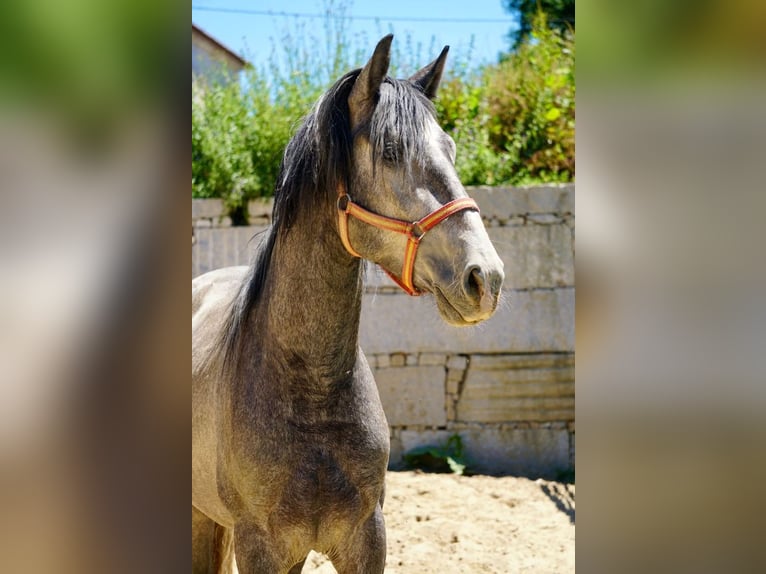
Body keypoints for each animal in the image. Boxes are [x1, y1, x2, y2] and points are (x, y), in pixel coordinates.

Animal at [190, 37, 504, 574]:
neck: (312, 391)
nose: (486, 278)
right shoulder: (260, 547)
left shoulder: (366, 539)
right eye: (392, 150)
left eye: (450, 149)